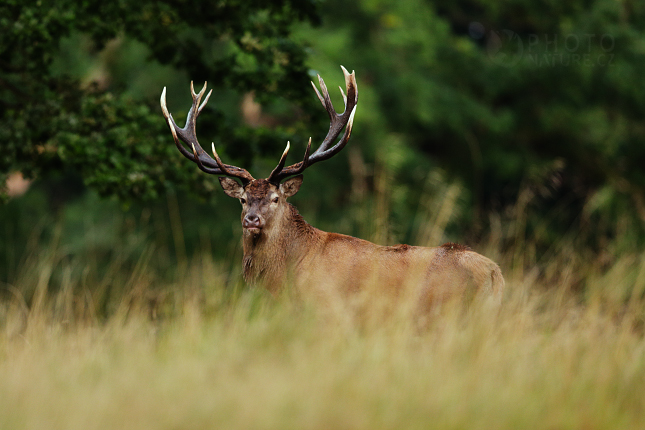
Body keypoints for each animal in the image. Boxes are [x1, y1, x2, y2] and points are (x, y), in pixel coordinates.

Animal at [161, 65, 504, 310]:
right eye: (243, 199)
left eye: (275, 198)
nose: (251, 220)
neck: (283, 278)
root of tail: (496, 274)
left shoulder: (327, 312)